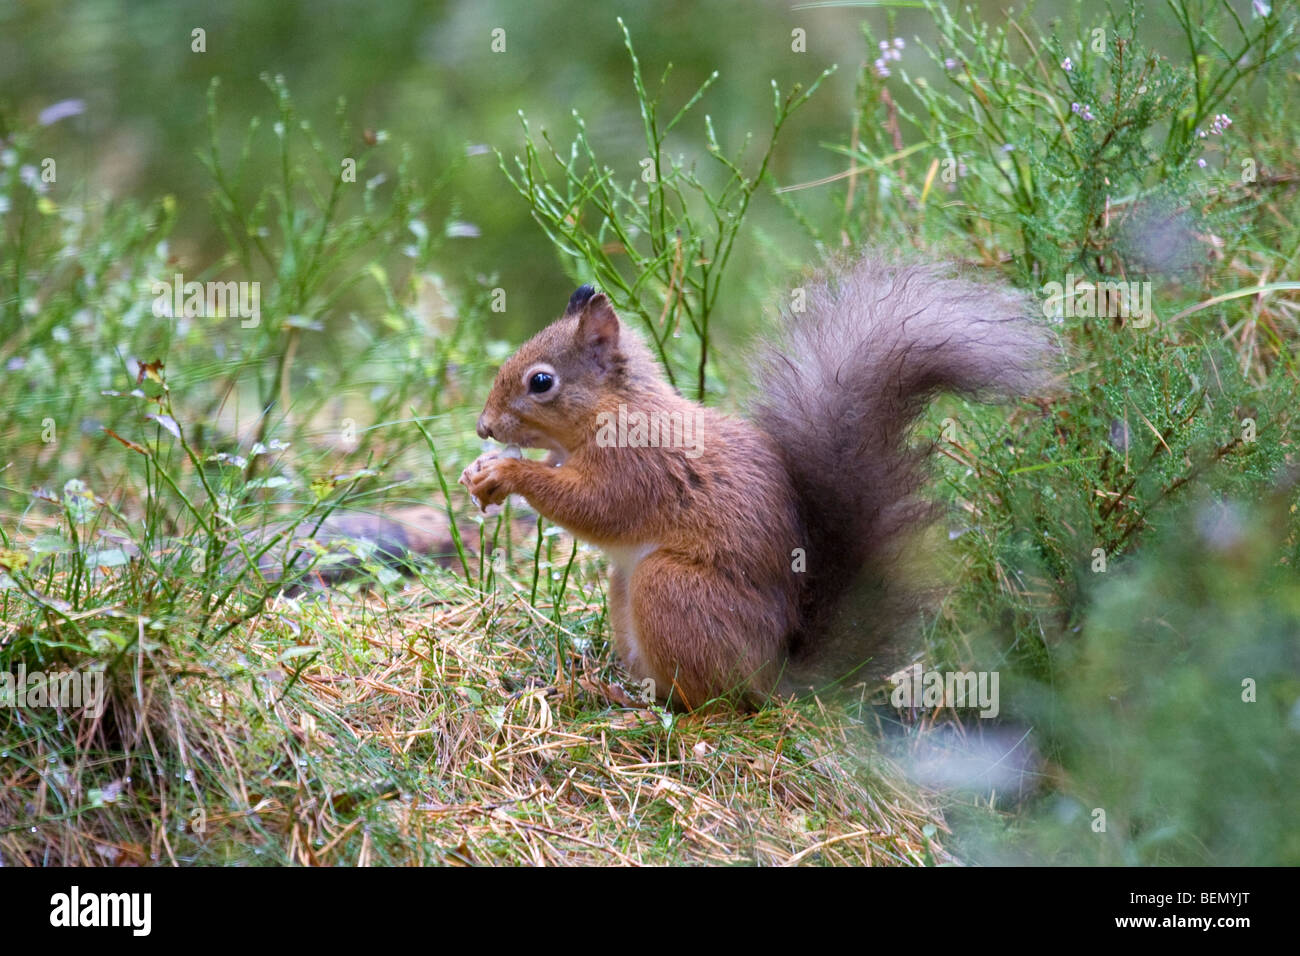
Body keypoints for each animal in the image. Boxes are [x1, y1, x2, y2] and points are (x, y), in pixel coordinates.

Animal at [462, 257, 1050, 707]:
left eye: (541, 381)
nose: (484, 427)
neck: (615, 408)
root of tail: (776, 677)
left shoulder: (639, 465)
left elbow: (596, 508)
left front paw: (506, 472)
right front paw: (478, 471)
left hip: (669, 589)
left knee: (711, 702)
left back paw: (638, 703)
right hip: (626, 590)